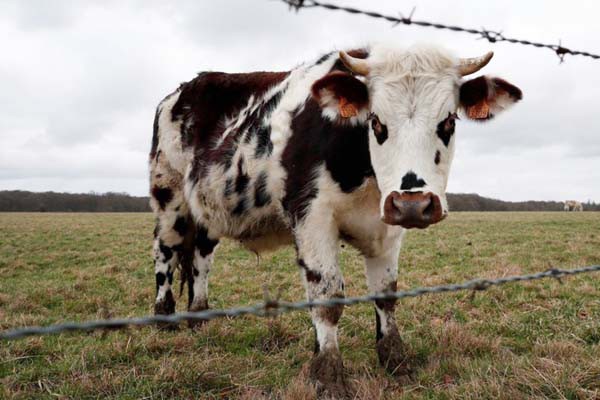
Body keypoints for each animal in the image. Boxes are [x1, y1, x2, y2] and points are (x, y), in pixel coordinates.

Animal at [149, 44, 520, 396]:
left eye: (448, 122)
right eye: (376, 121)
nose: (413, 204)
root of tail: (182, 91)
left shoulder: (387, 226)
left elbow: (385, 294)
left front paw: (395, 359)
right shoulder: (312, 218)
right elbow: (327, 299)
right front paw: (327, 374)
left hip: (207, 212)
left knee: (201, 260)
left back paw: (199, 317)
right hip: (169, 197)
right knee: (165, 252)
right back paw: (164, 316)